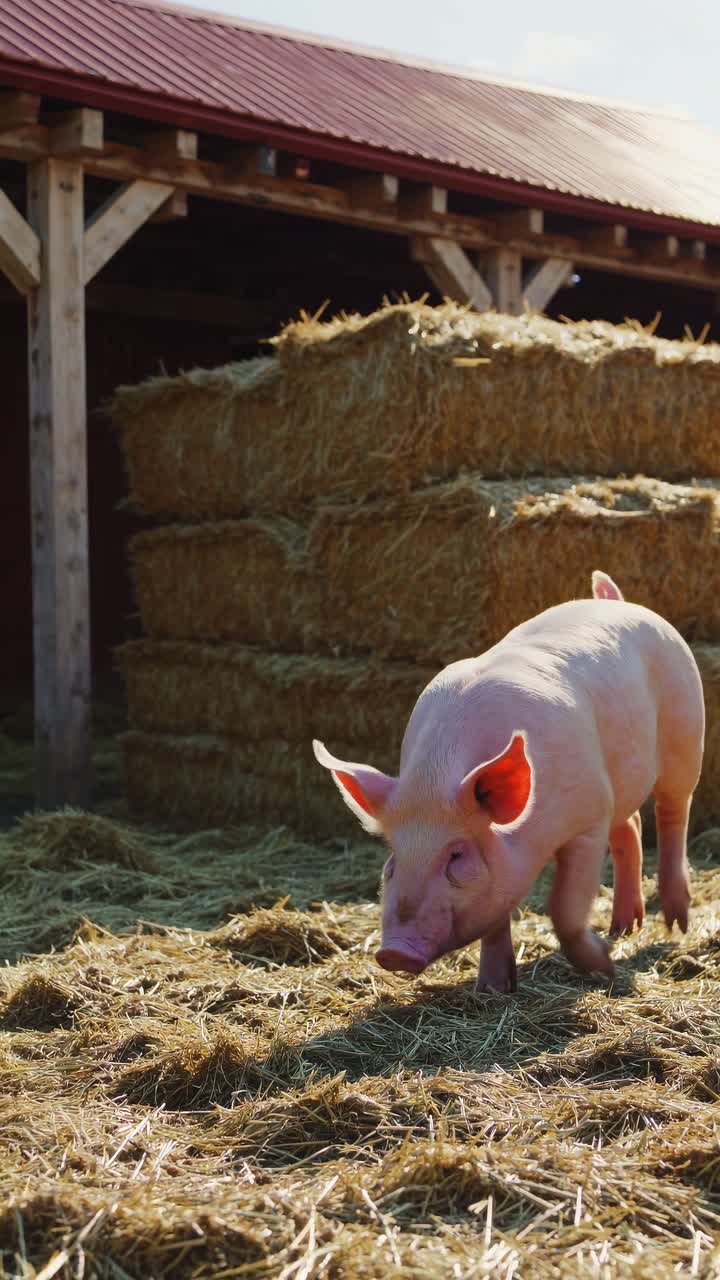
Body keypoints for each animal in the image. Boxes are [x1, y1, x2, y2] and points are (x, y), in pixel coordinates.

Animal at [313, 571, 704, 993]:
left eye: (457, 855)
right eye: (392, 859)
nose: (393, 953)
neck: (437, 775)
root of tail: (617, 601)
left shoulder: (588, 819)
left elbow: (564, 908)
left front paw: (604, 968)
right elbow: (496, 919)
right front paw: (493, 988)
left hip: (685, 732)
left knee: (672, 811)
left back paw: (676, 922)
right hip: (622, 778)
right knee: (630, 824)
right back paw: (623, 928)